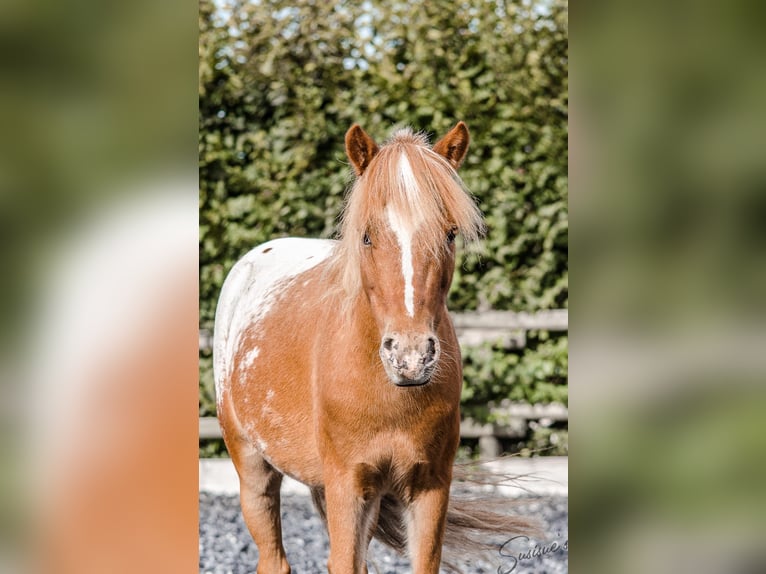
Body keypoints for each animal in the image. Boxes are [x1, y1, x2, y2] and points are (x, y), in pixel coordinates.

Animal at [213, 124, 532, 572]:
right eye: (366, 236)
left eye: (450, 234)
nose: (410, 357)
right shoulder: (347, 486)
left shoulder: (430, 487)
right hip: (253, 468)